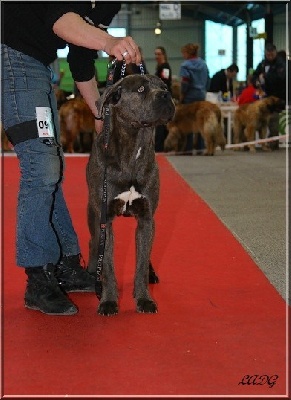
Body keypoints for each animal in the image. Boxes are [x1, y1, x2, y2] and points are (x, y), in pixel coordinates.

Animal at [85, 74, 175, 316]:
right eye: (141, 89)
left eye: (164, 86)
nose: (166, 95)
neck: (134, 148)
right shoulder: (104, 220)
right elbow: (107, 264)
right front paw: (108, 301)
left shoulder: (146, 218)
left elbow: (141, 262)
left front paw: (144, 299)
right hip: (92, 214)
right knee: (93, 243)